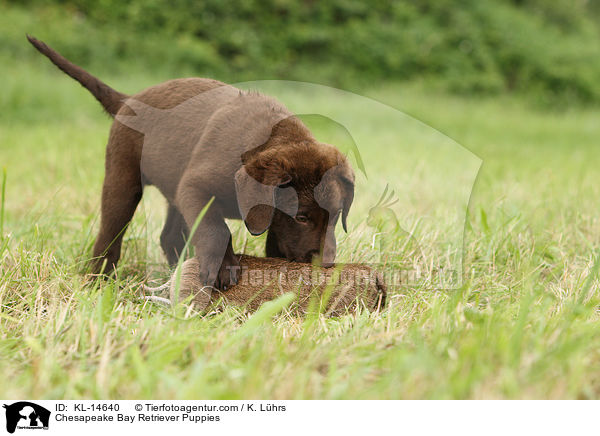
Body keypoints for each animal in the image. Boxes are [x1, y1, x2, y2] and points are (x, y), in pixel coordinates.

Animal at [28, 35, 354, 290]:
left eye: (337, 215)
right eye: (302, 217)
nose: (326, 265)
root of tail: (128, 101)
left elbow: (272, 236)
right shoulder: (196, 187)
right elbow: (215, 228)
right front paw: (222, 267)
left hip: (173, 188)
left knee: (168, 236)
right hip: (123, 180)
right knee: (111, 234)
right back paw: (99, 281)